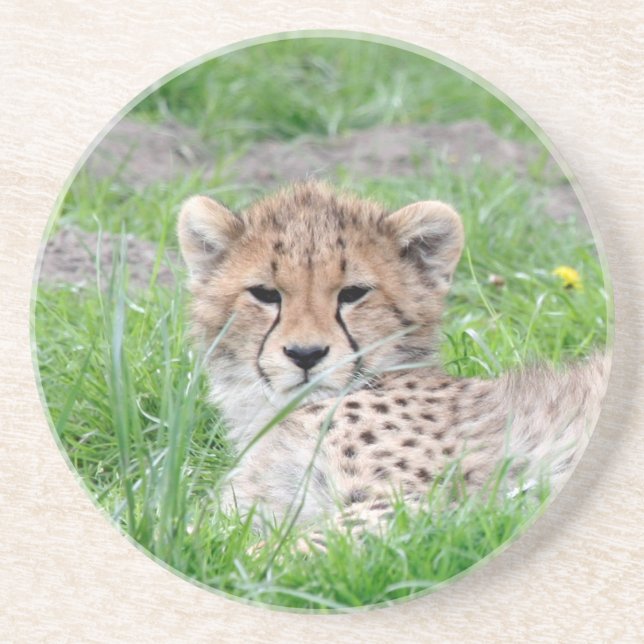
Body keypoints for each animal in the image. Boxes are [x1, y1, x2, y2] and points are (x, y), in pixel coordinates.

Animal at [177, 180, 609, 537]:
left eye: (353, 293)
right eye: (266, 294)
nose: (305, 354)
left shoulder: (419, 506)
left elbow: (286, 551)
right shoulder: (252, 510)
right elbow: (198, 538)